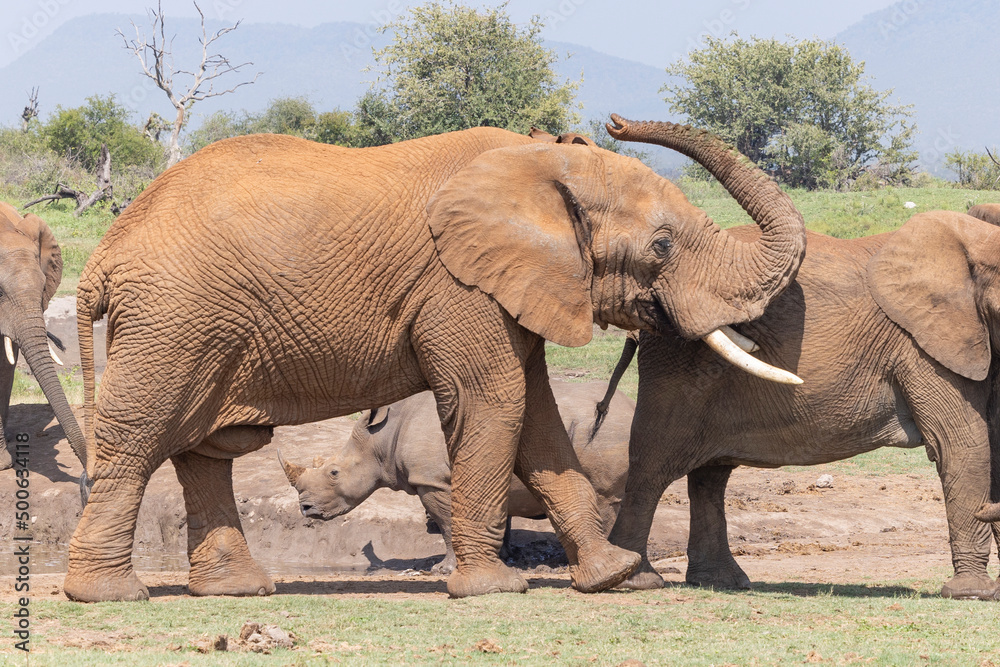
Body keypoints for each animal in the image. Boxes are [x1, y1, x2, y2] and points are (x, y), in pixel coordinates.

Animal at [280, 381, 635, 574]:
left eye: (334, 472)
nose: (306, 509)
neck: (382, 437)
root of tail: (631, 407)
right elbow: (499, 519)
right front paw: (504, 557)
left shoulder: (433, 480)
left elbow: (449, 524)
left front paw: (444, 569)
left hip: (604, 432)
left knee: (603, 497)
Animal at [588, 168, 1000, 599]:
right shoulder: (923, 345)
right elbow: (961, 442)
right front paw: (972, 592)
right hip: (675, 358)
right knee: (653, 464)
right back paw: (636, 580)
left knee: (711, 475)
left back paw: (722, 581)